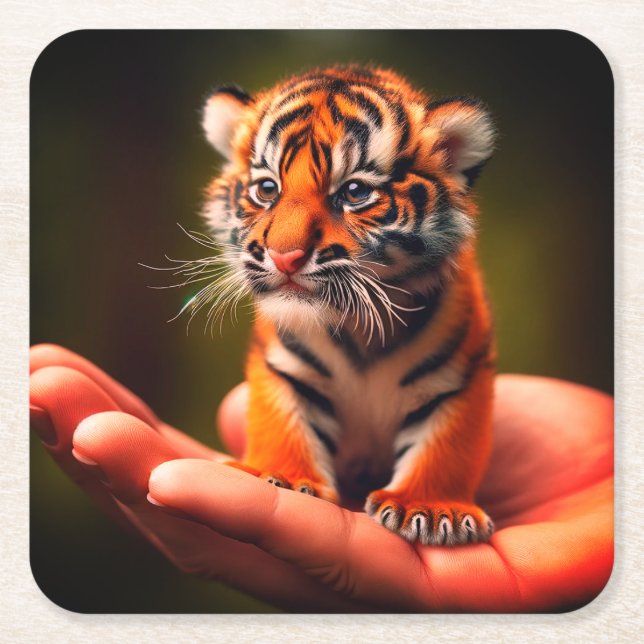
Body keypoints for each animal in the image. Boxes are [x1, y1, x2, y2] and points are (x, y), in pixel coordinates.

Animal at [196, 65, 496, 546]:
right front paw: (278, 476)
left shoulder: (461, 376)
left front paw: (430, 509)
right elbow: (282, 421)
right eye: (267, 189)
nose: (284, 256)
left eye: (354, 192)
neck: (359, 327)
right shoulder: (283, 367)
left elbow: (446, 445)